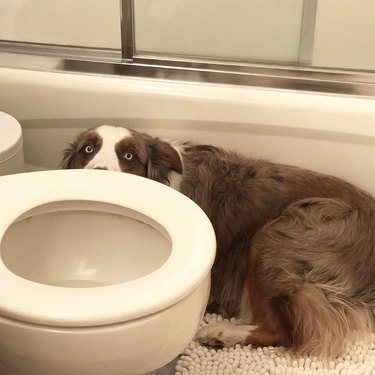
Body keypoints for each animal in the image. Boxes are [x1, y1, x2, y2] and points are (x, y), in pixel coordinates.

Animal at [61, 125, 375, 358]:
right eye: (87, 149)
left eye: (128, 156)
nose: (97, 175)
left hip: (278, 234)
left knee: (284, 331)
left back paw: (222, 333)